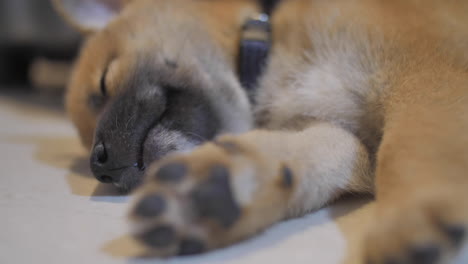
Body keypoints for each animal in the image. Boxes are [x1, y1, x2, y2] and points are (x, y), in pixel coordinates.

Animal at [52, 0, 468, 260]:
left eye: (103, 83)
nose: (100, 165)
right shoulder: (344, 136)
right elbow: (308, 156)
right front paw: (221, 188)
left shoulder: (427, 77)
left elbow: (412, 147)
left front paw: (413, 212)